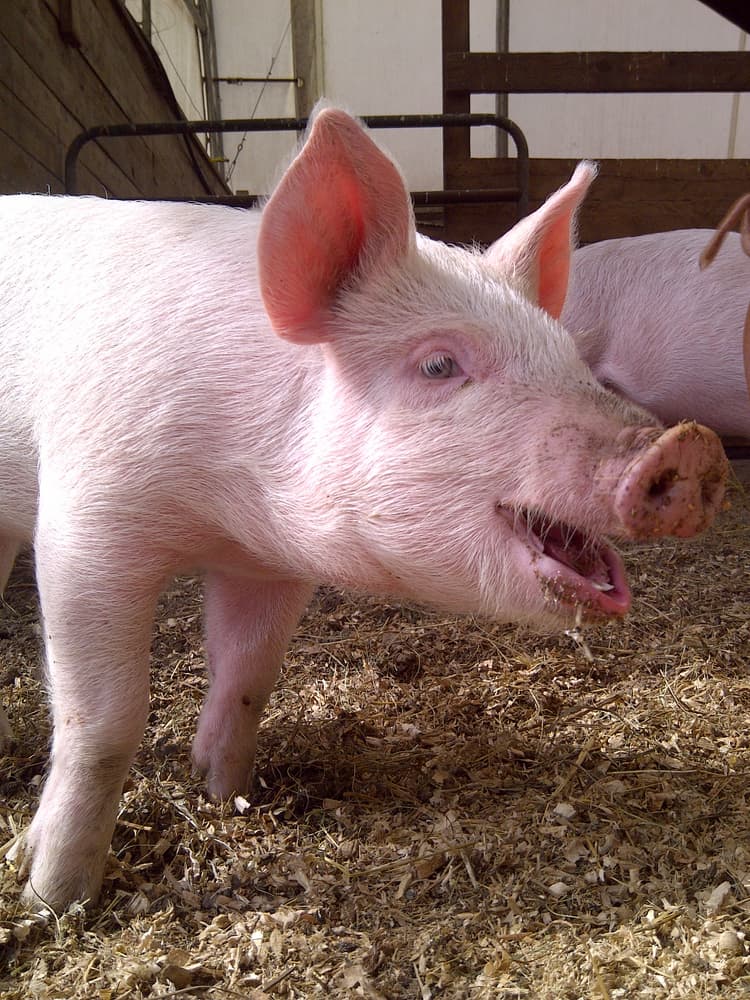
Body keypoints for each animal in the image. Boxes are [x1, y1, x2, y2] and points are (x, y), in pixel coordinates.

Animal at [0, 106, 727, 914]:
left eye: (572, 359)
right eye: (439, 364)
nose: (690, 445)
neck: (220, 512)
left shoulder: (267, 564)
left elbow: (248, 677)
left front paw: (229, 796)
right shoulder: (85, 525)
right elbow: (102, 723)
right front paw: (52, 899)